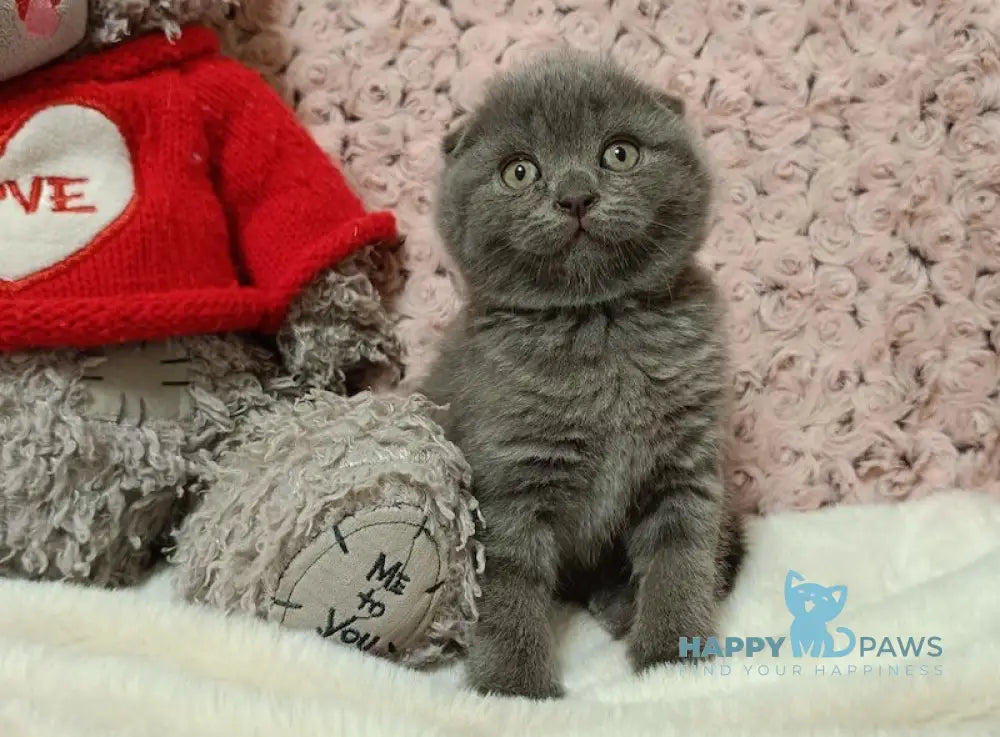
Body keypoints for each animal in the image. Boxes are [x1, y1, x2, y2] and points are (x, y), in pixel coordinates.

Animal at [420, 54, 744, 700]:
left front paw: (673, 658)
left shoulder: (686, 464)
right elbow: (508, 585)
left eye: (619, 153)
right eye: (520, 171)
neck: (598, 323)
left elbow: (682, 558)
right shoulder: (509, 477)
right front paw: (514, 688)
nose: (575, 196)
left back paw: (622, 606)